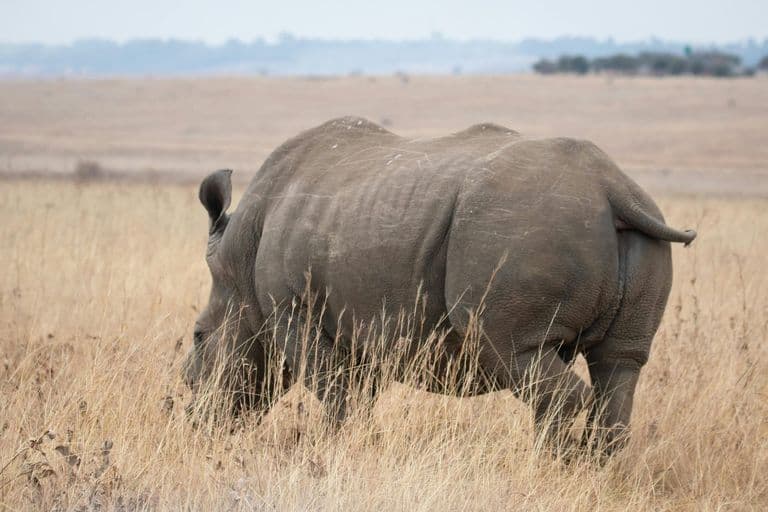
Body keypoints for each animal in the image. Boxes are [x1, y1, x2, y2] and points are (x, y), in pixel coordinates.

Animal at [184, 116, 696, 454]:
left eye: (198, 336)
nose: (188, 414)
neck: (238, 261)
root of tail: (613, 188)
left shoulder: (291, 310)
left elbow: (333, 389)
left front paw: (332, 453)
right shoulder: (364, 324)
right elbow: (356, 394)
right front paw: (358, 448)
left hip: (518, 227)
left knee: (511, 349)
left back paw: (549, 468)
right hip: (623, 231)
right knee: (619, 363)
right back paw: (589, 471)